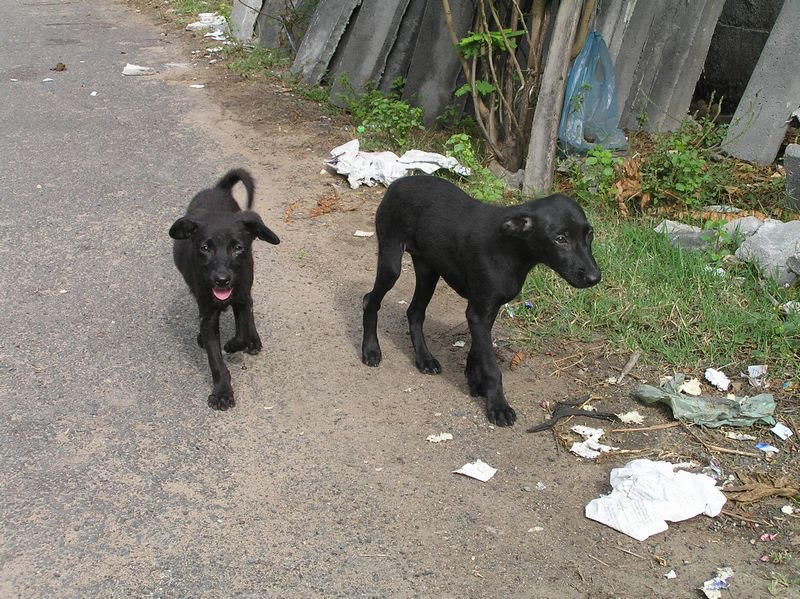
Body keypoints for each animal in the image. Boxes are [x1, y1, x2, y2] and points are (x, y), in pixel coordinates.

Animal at [170, 171, 282, 410]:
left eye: (238, 248)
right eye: (204, 248)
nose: (221, 280)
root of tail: (218, 189)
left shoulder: (240, 298)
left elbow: (242, 330)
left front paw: (234, 344)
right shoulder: (209, 314)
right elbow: (215, 359)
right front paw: (222, 392)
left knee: (250, 310)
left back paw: (253, 340)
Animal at [362, 175, 600, 426]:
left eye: (589, 234)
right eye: (560, 239)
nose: (595, 277)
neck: (511, 248)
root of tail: (399, 181)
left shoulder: (487, 310)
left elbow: (478, 352)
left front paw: (475, 382)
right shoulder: (478, 313)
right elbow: (492, 366)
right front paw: (498, 406)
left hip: (428, 270)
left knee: (414, 312)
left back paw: (424, 358)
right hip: (391, 262)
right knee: (370, 300)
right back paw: (371, 350)